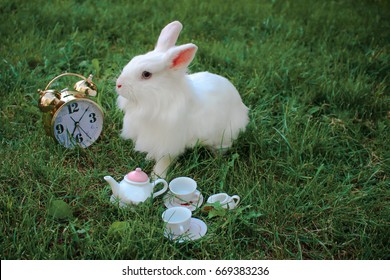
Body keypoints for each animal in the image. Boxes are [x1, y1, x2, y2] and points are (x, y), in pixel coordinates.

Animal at [116, 20, 250, 177]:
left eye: (146, 74)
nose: (118, 84)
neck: (159, 98)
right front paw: (149, 159)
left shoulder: (169, 143)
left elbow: (163, 162)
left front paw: (156, 176)